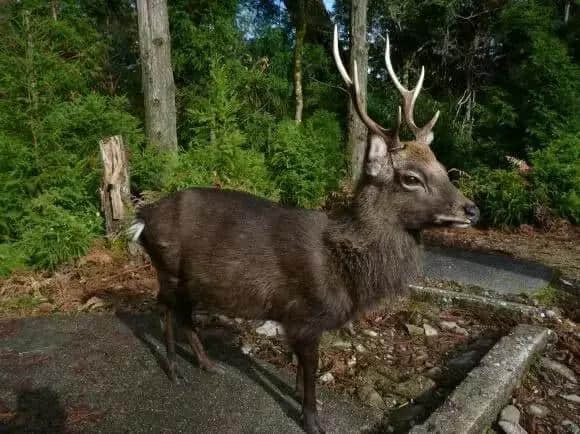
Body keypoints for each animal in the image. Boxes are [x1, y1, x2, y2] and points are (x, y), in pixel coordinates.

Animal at [130, 27, 480, 434]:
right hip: (167, 268)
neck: (345, 271)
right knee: (164, 311)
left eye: (440, 165)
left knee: (185, 314)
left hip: (189, 279)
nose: (472, 209)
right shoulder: (304, 315)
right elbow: (310, 374)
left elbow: (300, 372)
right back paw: (174, 370)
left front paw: (302, 402)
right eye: (411, 178)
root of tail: (143, 217)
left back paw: (207, 364)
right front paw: (312, 420)